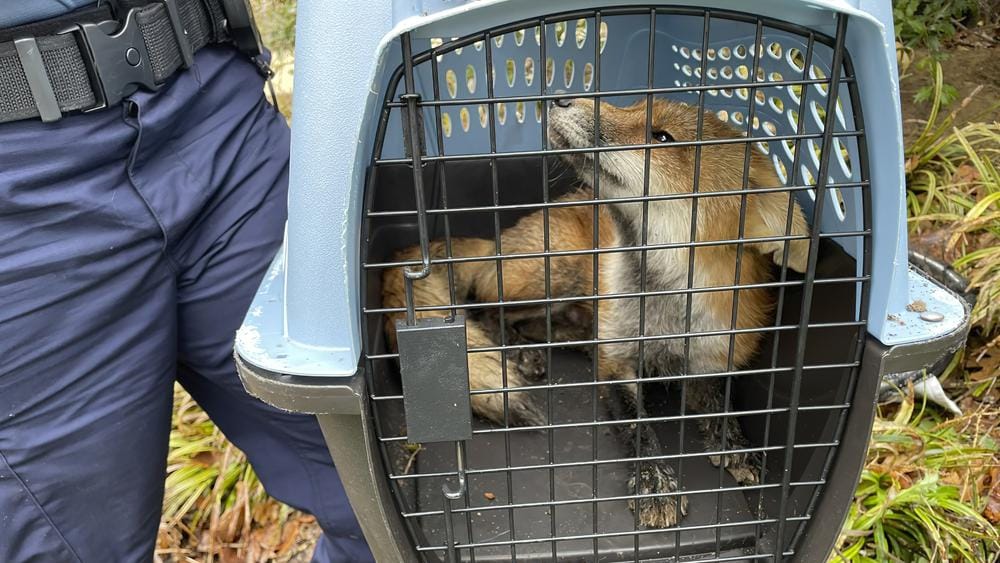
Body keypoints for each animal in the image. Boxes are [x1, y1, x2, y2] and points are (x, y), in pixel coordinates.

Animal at [378, 97, 808, 528]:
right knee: (484, 308)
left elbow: (723, 403)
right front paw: (655, 482)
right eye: (634, 104)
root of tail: (496, 242)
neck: (663, 311)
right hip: (555, 272)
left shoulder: (712, 356)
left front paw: (736, 445)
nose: (561, 97)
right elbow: (638, 426)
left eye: (662, 137)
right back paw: (522, 352)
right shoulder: (616, 363)